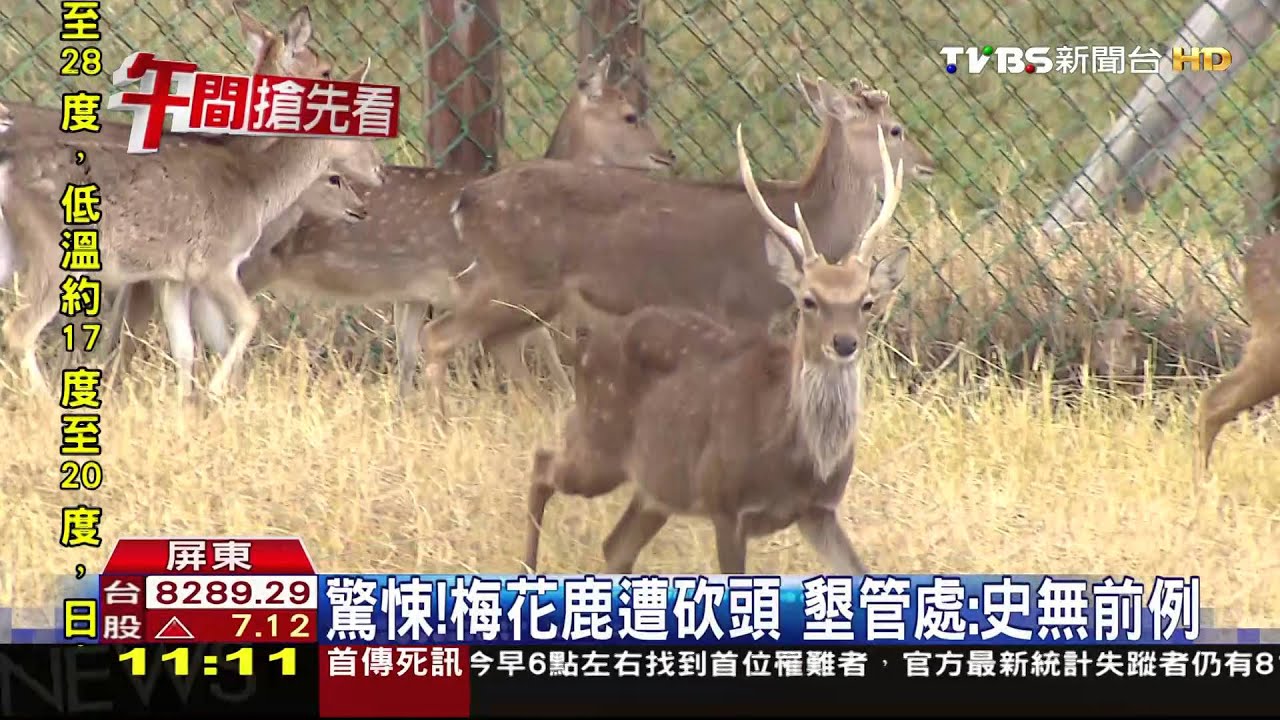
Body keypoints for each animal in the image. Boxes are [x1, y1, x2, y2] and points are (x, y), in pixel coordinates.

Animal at [0, 5, 386, 400]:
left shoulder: (173, 275)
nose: (379, 169)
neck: (256, 184)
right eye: (326, 71)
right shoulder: (208, 265)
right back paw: (48, 402)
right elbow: (238, 323)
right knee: (19, 327)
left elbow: (184, 345)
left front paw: (185, 401)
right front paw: (213, 393)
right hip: (55, 254)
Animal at [119, 52, 675, 399]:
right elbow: (539, 355)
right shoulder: (483, 285)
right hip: (240, 262)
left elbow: (409, 360)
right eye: (630, 115)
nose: (667, 155)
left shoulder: (414, 292)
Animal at [421, 77, 934, 414]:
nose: (930, 163)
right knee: (439, 335)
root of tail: (467, 201)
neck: (801, 213)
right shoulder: (741, 309)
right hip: (514, 281)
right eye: (896, 129)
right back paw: (439, 421)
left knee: (499, 346)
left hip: (528, 297)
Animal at [523, 123, 907, 573]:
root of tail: (585, 346)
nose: (844, 343)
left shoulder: (819, 511)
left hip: (658, 485)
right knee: (542, 463)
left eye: (866, 302)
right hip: (598, 441)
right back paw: (527, 567)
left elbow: (860, 571)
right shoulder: (725, 503)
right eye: (809, 300)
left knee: (615, 545)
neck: (793, 457)